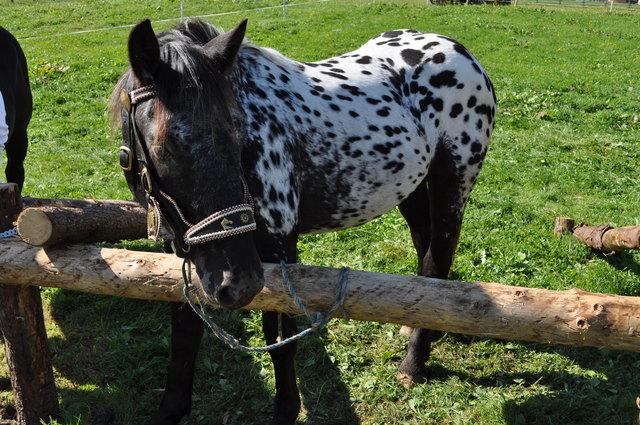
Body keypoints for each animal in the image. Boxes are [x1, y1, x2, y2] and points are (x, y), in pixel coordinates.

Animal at [109, 18, 496, 425]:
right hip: (412, 188)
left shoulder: (279, 251)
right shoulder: (182, 253)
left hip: (453, 182)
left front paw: (286, 409)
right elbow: (184, 333)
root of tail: (460, 51)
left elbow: (279, 343)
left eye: (238, 132)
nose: (236, 284)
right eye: (164, 146)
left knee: (439, 259)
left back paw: (414, 364)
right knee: (425, 253)